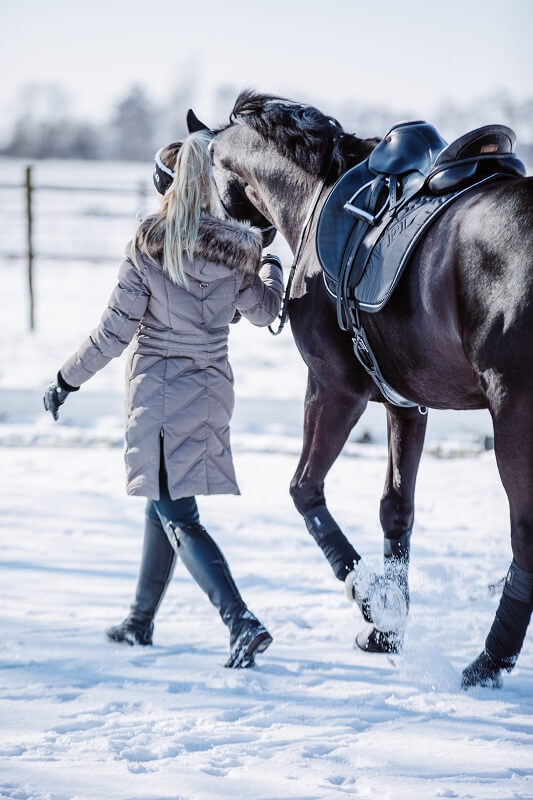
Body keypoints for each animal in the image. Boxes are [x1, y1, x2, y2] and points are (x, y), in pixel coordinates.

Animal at [198, 92, 532, 688]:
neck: (315, 195)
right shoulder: (407, 403)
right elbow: (396, 509)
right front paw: (388, 625)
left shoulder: (334, 389)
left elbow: (304, 489)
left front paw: (370, 600)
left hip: (514, 413)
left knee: (527, 535)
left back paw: (488, 661)